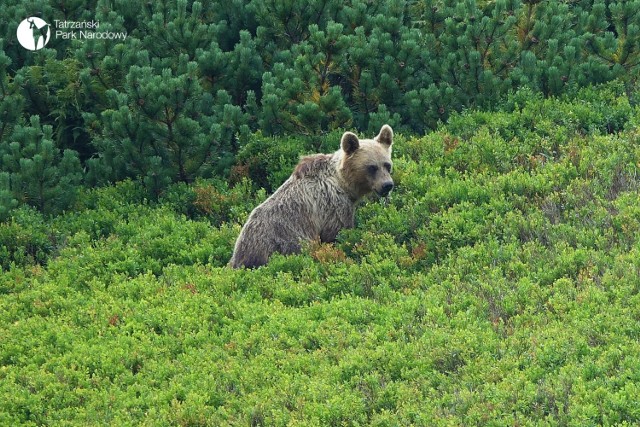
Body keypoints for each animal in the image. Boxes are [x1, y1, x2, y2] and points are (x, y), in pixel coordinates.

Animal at [228, 125, 392, 270]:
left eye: (387, 164)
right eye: (372, 167)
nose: (387, 185)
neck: (343, 183)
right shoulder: (334, 205)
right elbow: (337, 233)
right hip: (283, 240)